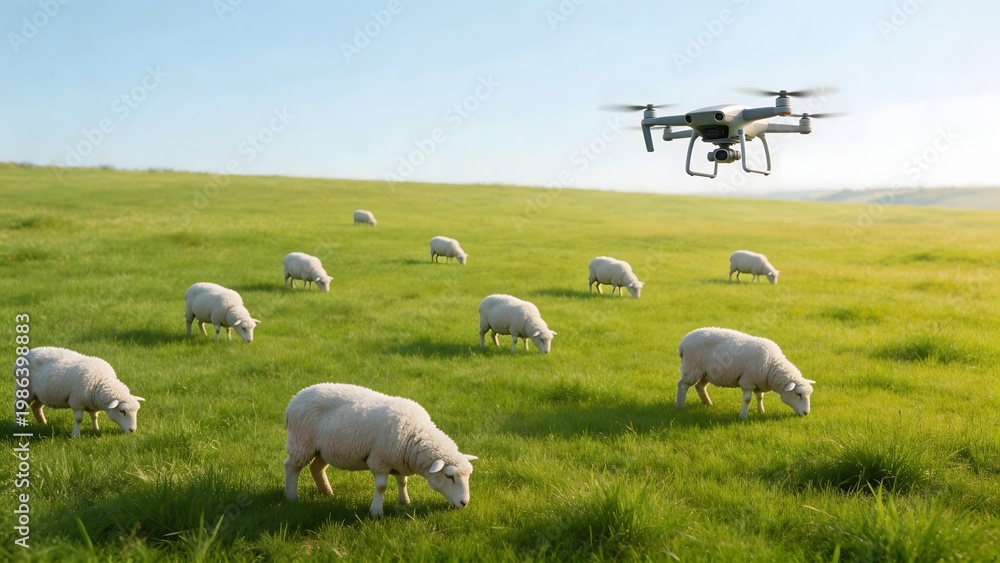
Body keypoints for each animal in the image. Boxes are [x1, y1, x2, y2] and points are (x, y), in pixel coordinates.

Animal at [284, 383, 477, 517]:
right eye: (449, 476)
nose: (464, 503)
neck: (414, 433)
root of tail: (295, 399)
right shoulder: (380, 460)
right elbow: (381, 487)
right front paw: (376, 512)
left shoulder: (399, 460)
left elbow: (402, 482)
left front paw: (404, 501)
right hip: (301, 441)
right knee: (291, 467)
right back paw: (292, 497)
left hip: (323, 448)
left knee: (316, 468)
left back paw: (327, 492)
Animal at [676, 327, 814, 419]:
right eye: (798, 394)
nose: (806, 413)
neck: (771, 364)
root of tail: (684, 341)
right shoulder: (747, 380)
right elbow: (748, 399)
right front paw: (743, 416)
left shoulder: (759, 382)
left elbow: (760, 397)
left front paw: (761, 411)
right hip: (692, 367)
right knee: (682, 385)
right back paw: (680, 406)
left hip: (706, 372)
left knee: (700, 386)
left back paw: (708, 403)